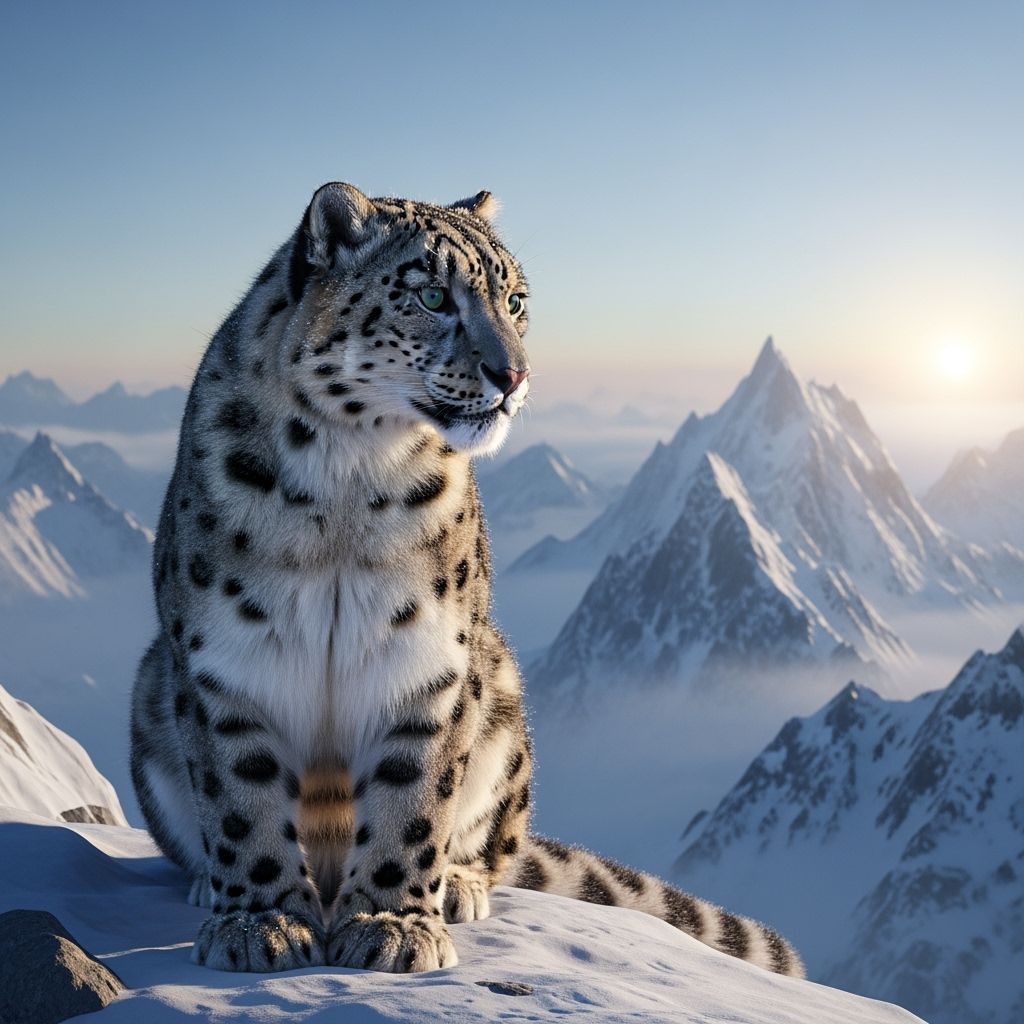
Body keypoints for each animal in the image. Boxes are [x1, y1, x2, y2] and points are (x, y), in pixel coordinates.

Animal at [130, 181, 804, 978]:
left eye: (514, 301)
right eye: (429, 293)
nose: (512, 375)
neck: (346, 479)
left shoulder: (427, 658)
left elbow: (412, 800)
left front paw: (392, 926)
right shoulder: (225, 662)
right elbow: (244, 800)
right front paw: (262, 924)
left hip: (502, 694)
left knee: (495, 845)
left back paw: (457, 885)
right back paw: (211, 885)